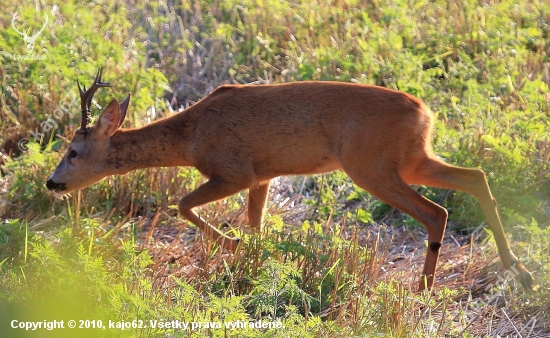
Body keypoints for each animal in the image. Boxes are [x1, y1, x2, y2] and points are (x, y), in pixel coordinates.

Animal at [47, 69, 536, 290]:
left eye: (73, 151)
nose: (53, 184)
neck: (191, 136)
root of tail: (424, 111)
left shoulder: (234, 170)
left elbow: (182, 205)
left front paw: (232, 246)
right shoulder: (262, 176)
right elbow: (257, 224)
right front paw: (255, 263)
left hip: (370, 166)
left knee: (436, 212)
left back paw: (423, 289)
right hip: (413, 158)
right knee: (475, 177)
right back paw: (521, 270)